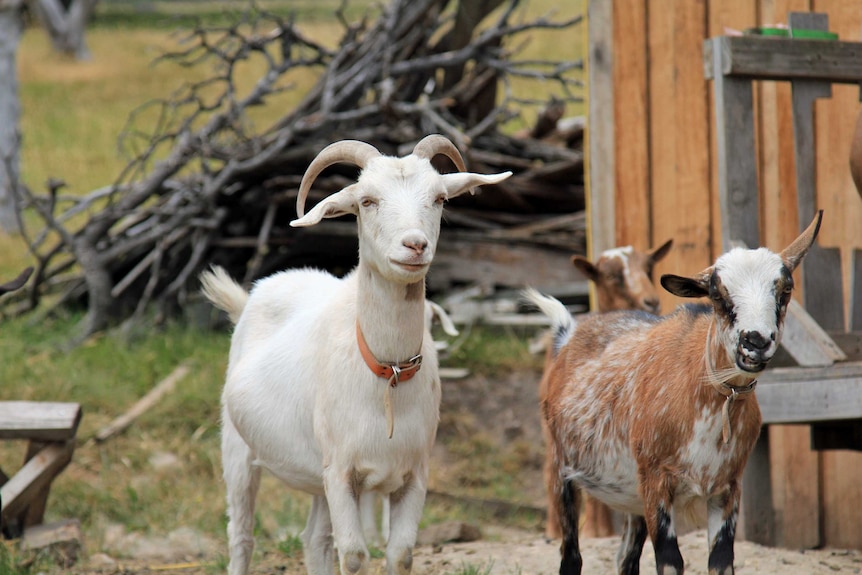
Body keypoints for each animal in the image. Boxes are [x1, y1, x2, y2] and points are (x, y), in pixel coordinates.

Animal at [201, 136, 512, 575]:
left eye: (439, 198)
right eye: (367, 200)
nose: (415, 244)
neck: (387, 371)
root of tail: (253, 295)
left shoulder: (412, 475)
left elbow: (399, 554)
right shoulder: (342, 474)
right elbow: (353, 556)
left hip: (317, 475)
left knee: (314, 540)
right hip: (238, 451)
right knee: (242, 536)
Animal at [528, 213, 824, 575]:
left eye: (786, 289)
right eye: (716, 294)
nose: (756, 340)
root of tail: (568, 333)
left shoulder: (727, 489)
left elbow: (721, 560)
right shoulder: (657, 481)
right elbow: (670, 560)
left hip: (631, 495)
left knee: (625, 559)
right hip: (563, 471)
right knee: (571, 556)